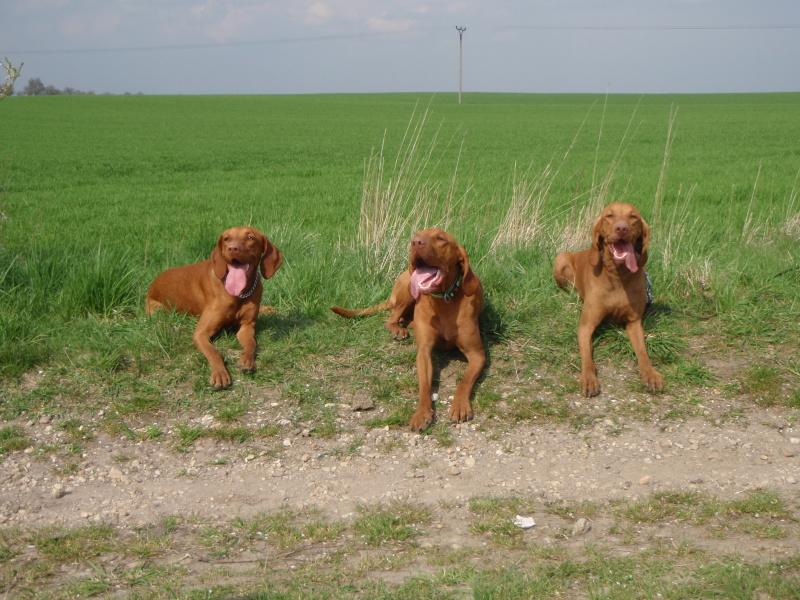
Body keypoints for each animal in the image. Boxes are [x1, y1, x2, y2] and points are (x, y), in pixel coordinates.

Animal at [145, 227, 282, 392]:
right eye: (226, 239)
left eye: (250, 237)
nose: (232, 248)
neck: (240, 294)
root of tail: (153, 282)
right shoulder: (200, 333)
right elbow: (214, 353)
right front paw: (220, 373)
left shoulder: (247, 326)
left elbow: (251, 344)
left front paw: (246, 360)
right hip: (157, 310)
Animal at [330, 229, 484, 432]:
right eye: (418, 234)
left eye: (440, 238)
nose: (415, 242)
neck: (444, 301)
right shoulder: (424, 352)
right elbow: (424, 387)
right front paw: (422, 413)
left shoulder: (477, 354)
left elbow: (464, 381)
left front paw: (459, 405)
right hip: (407, 289)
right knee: (391, 318)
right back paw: (399, 329)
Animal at [556, 203, 664, 398]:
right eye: (609, 216)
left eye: (633, 217)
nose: (622, 228)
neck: (617, 275)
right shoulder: (585, 326)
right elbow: (586, 356)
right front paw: (589, 378)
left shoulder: (634, 322)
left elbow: (643, 352)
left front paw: (650, 374)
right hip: (560, 258)